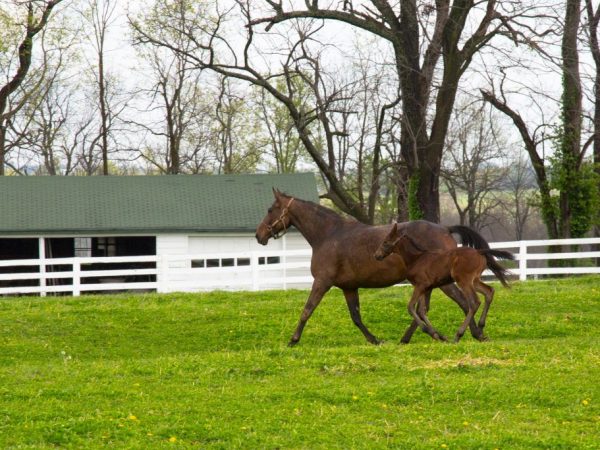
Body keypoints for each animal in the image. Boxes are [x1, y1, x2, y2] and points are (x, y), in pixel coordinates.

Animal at [255, 188, 494, 346]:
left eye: (270, 209)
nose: (259, 235)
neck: (328, 235)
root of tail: (445, 229)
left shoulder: (322, 282)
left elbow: (307, 309)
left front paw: (293, 340)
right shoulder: (349, 287)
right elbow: (356, 317)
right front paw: (375, 339)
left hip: (446, 282)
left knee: (464, 302)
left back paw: (469, 333)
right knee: (427, 308)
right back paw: (415, 337)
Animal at [372, 223, 512, 342]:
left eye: (385, 242)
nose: (376, 255)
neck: (416, 259)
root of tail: (479, 251)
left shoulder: (420, 286)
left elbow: (411, 307)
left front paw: (427, 330)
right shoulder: (425, 287)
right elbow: (422, 310)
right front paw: (436, 335)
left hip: (464, 280)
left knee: (474, 302)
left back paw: (458, 335)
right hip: (475, 280)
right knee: (489, 291)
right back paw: (481, 326)